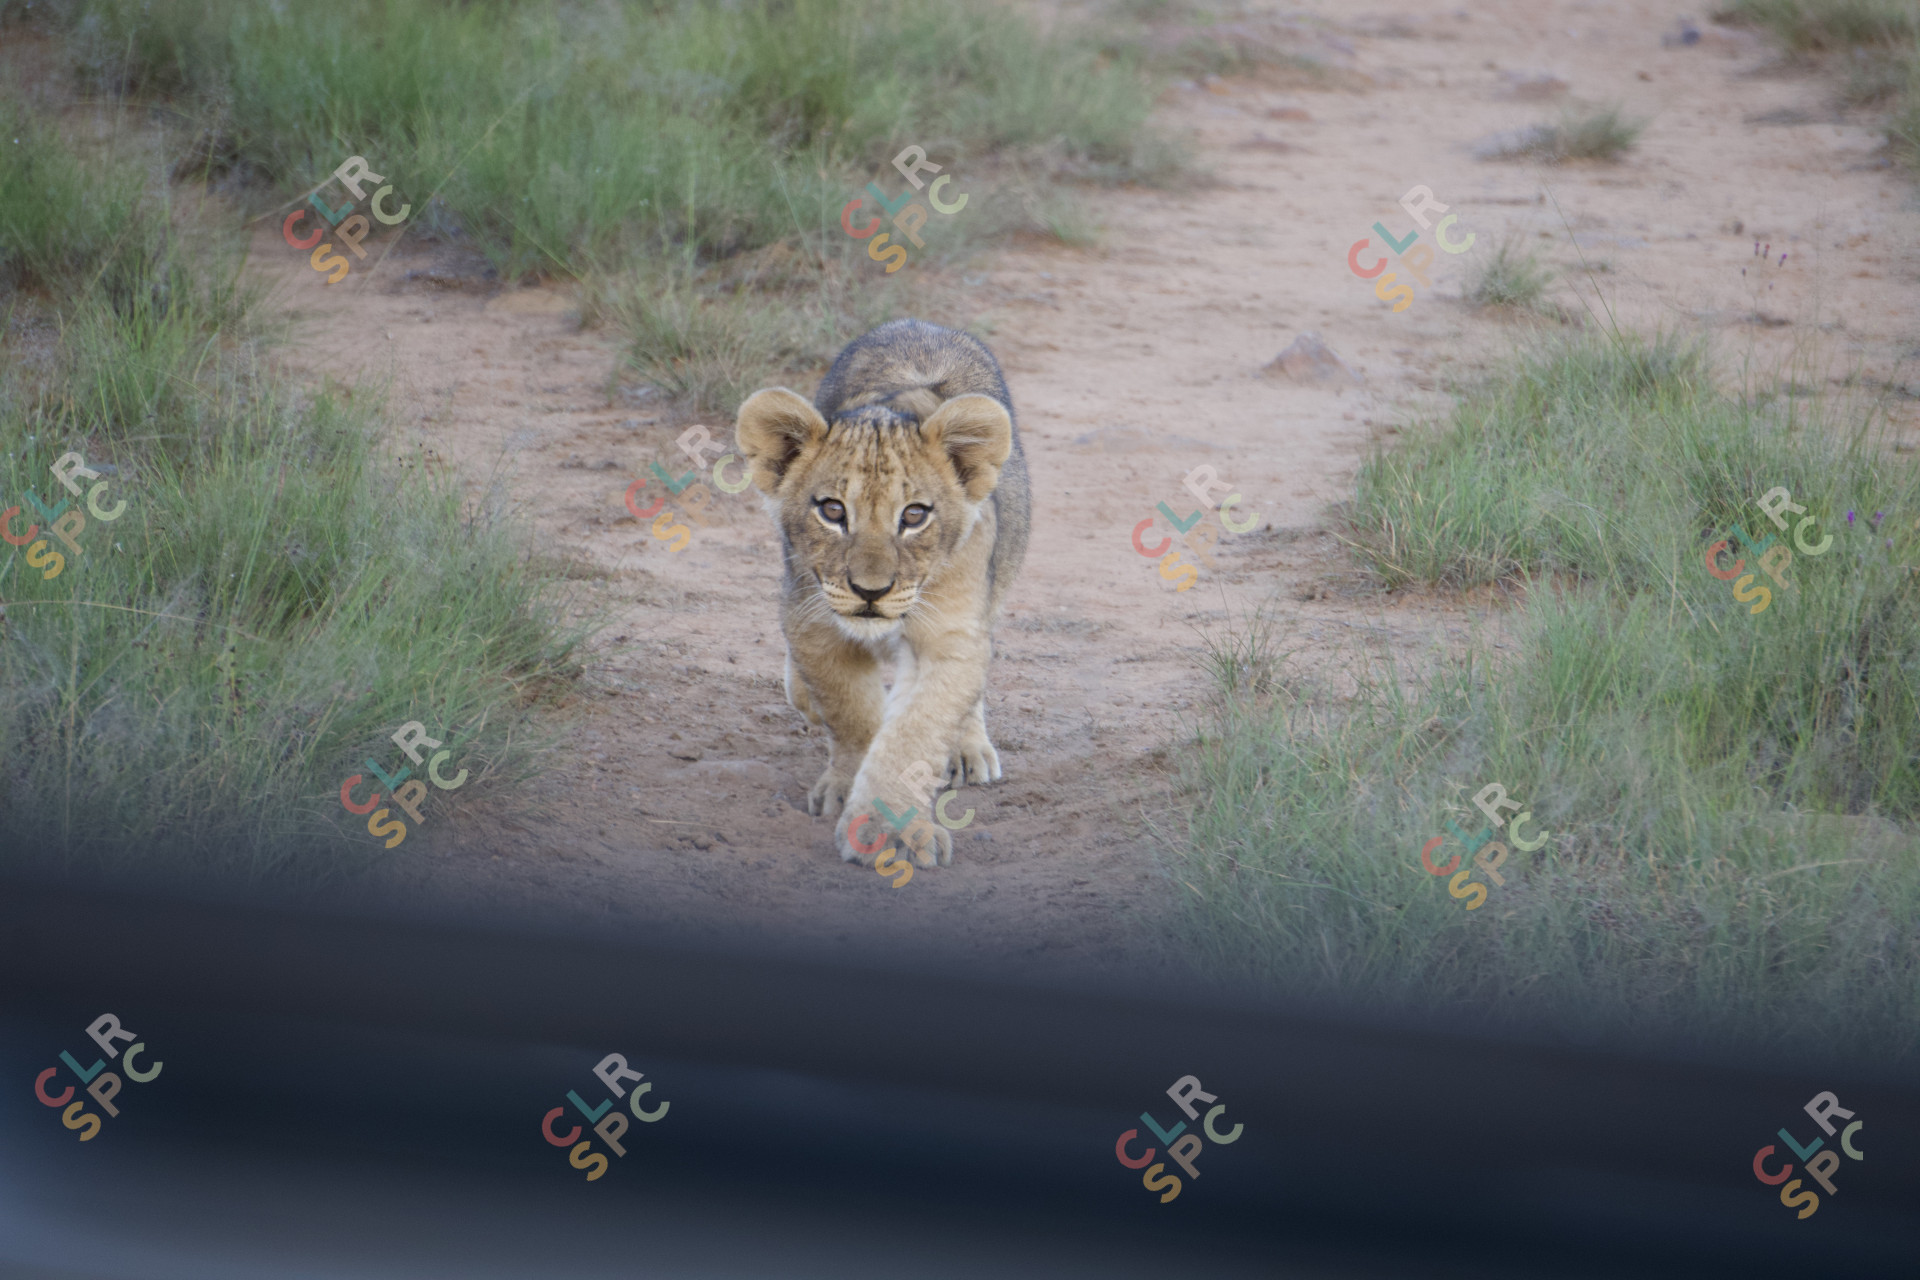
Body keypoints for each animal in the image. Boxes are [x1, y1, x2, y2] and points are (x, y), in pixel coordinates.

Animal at [734, 319, 1030, 869]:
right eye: (832, 510)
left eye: (914, 515)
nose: (869, 592)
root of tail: (919, 323)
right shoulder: (816, 626)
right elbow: (852, 717)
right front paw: (848, 793)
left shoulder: (949, 635)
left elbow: (916, 733)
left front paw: (893, 829)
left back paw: (969, 749)